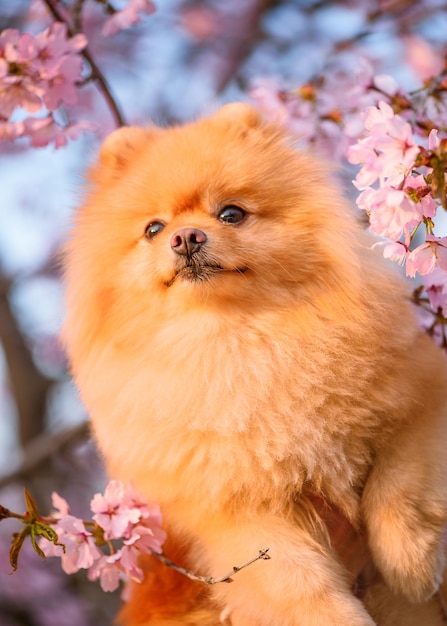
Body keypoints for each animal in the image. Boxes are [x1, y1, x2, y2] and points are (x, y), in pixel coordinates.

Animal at [63, 103, 447, 624]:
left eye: (232, 214)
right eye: (153, 229)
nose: (186, 237)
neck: (239, 345)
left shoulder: (421, 401)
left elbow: (398, 483)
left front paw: (411, 562)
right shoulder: (239, 516)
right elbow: (301, 587)